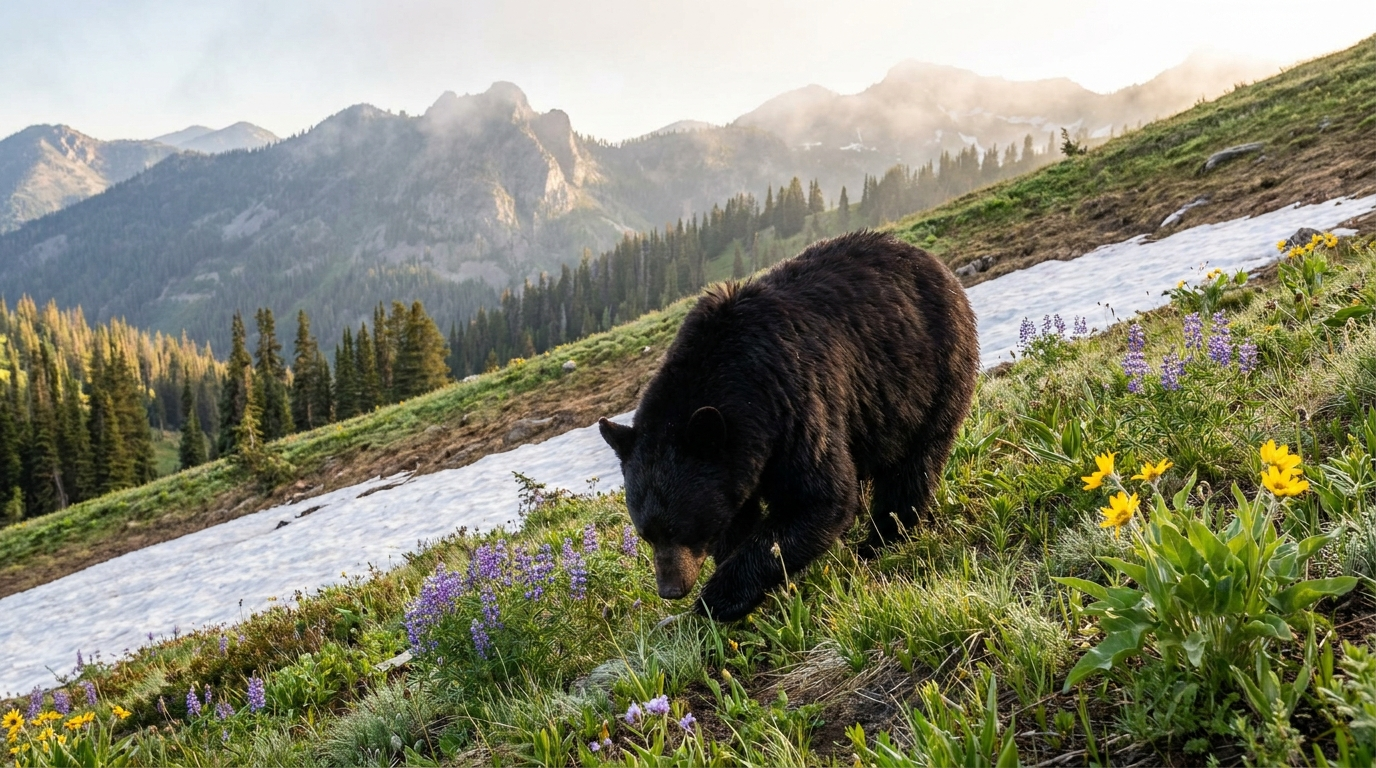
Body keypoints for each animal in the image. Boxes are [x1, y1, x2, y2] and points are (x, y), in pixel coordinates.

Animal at [598, 230, 979, 621]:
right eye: (646, 533)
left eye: (683, 528)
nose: (671, 589)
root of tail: (930, 259)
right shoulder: (739, 455)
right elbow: (740, 515)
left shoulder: (794, 404)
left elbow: (819, 497)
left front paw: (718, 597)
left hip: (933, 373)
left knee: (914, 466)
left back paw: (882, 539)